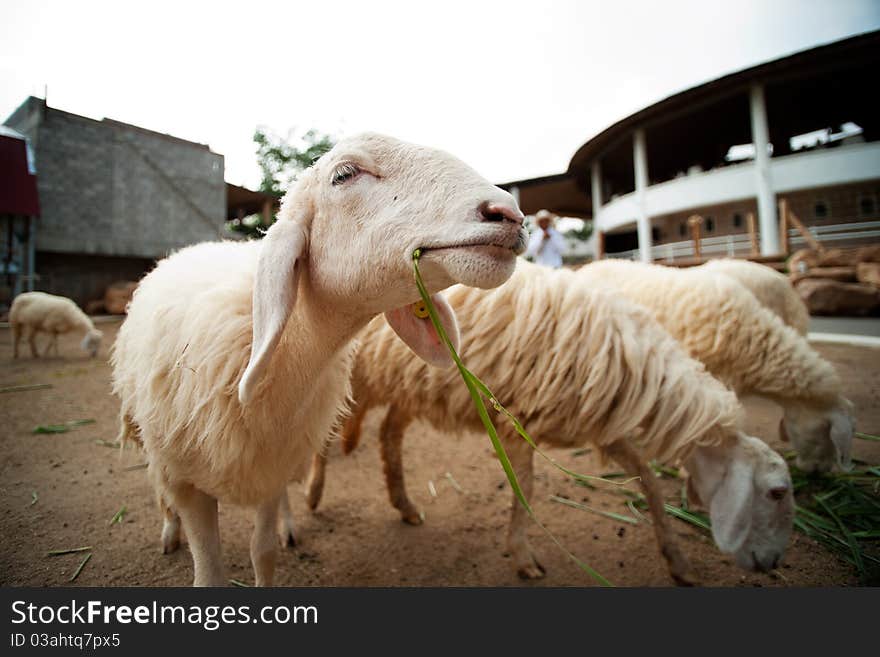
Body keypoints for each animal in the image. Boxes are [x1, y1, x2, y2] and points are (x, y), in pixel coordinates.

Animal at [107, 132, 524, 584]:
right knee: (158, 485)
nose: (509, 213)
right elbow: (210, 572)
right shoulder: (188, 482)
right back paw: (170, 531)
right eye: (345, 174)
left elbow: (263, 552)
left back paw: (289, 526)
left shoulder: (273, 463)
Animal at [300, 258, 792, 580]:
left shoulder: (602, 428)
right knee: (325, 437)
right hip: (353, 378)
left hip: (409, 385)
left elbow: (649, 481)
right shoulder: (517, 419)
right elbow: (527, 488)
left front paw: (678, 560)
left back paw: (404, 505)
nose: (773, 564)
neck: (633, 363)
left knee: (388, 434)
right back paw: (312, 496)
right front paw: (523, 556)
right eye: (776, 492)